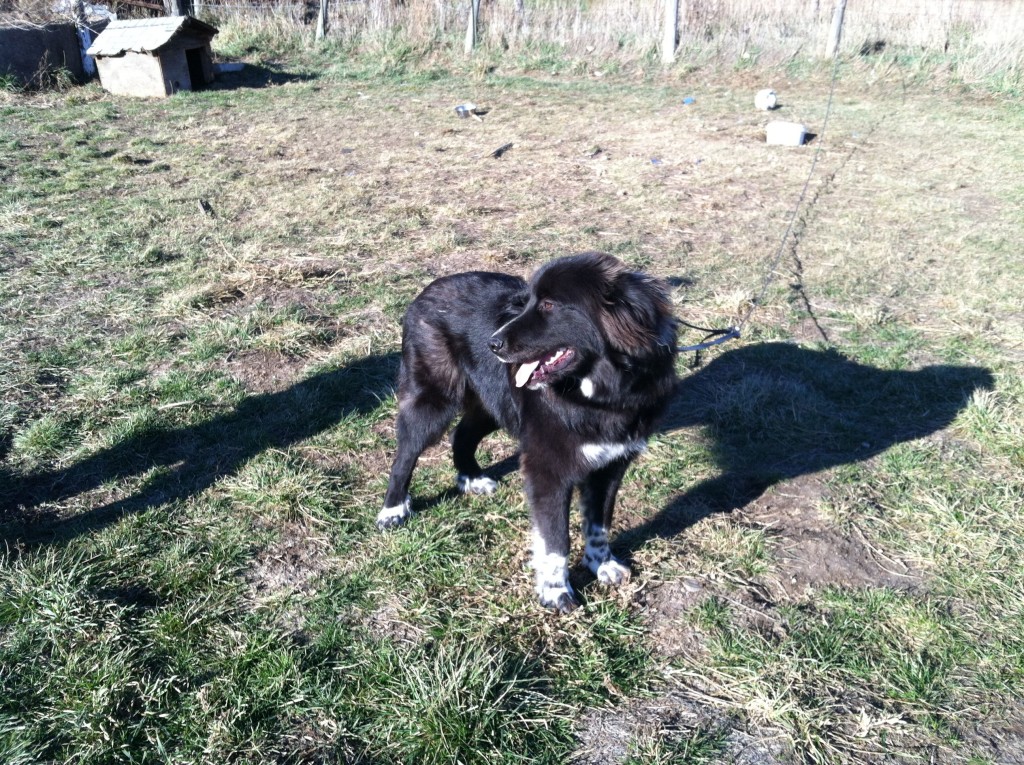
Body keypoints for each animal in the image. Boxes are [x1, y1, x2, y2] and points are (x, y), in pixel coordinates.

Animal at [378, 253, 679, 614]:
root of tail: (424, 294)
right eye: (527, 303)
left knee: (461, 436)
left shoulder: (611, 465)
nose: (492, 344)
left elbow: (599, 523)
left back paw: (471, 478)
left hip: (492, 403)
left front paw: (601, 564)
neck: (600, 393)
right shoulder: (548, 470)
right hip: (433, 402)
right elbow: (555, 540)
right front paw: (556, 593)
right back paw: (393, 510)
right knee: (405, 456)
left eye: (549, 305)